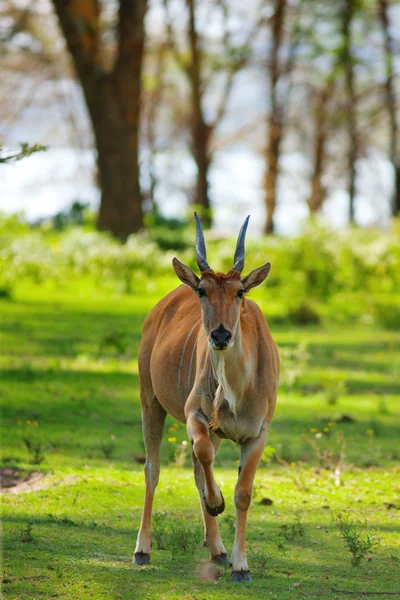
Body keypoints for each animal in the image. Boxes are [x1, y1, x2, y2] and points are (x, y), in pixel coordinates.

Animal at [134, 212, 278, 580]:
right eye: (202, 289)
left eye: (240, 291)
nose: (221, 335)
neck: (237, 390)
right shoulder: (195, 415)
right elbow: (202, 456)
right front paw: (216, 503)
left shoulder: (257, 434)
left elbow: (243, 493)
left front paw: (241, 565)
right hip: (149, 399)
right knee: (153, 469)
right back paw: (142, 549)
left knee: (198, 470)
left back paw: (218, 549)